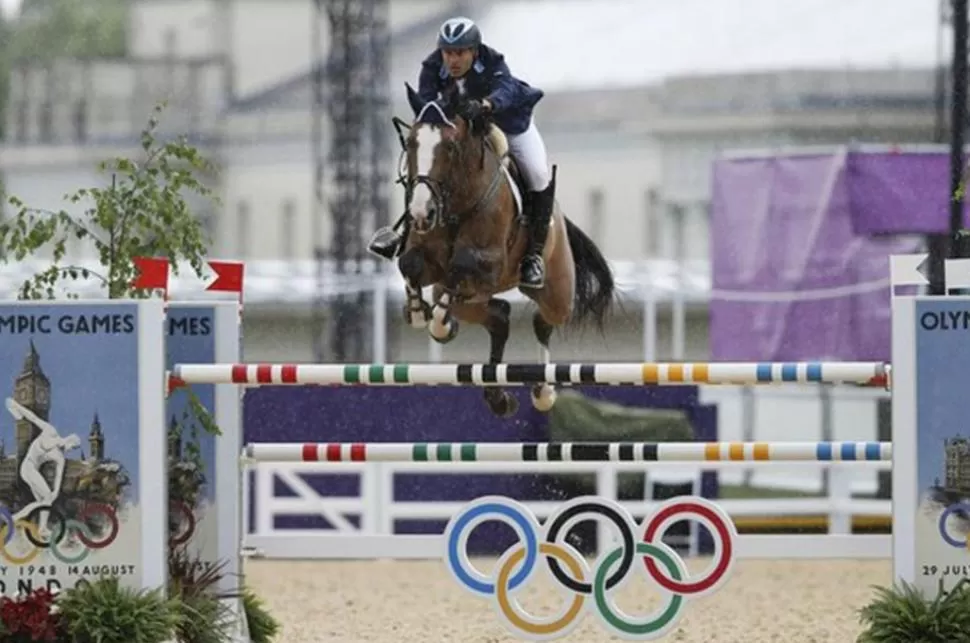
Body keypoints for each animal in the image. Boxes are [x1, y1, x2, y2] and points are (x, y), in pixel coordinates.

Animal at [392, 84, 612, 418]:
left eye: (450, 147)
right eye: (412, 143)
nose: (420, 213)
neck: (456, 203)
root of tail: (560, 217)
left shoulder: (491, 264)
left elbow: (462, 265)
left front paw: (440, 323)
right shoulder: (429, 261)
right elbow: (410, 264)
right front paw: (418, 312)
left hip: (557, 294)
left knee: (543, 321)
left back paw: (543, 393)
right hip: (475, 300)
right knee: (499, 317)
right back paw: (498, 396)